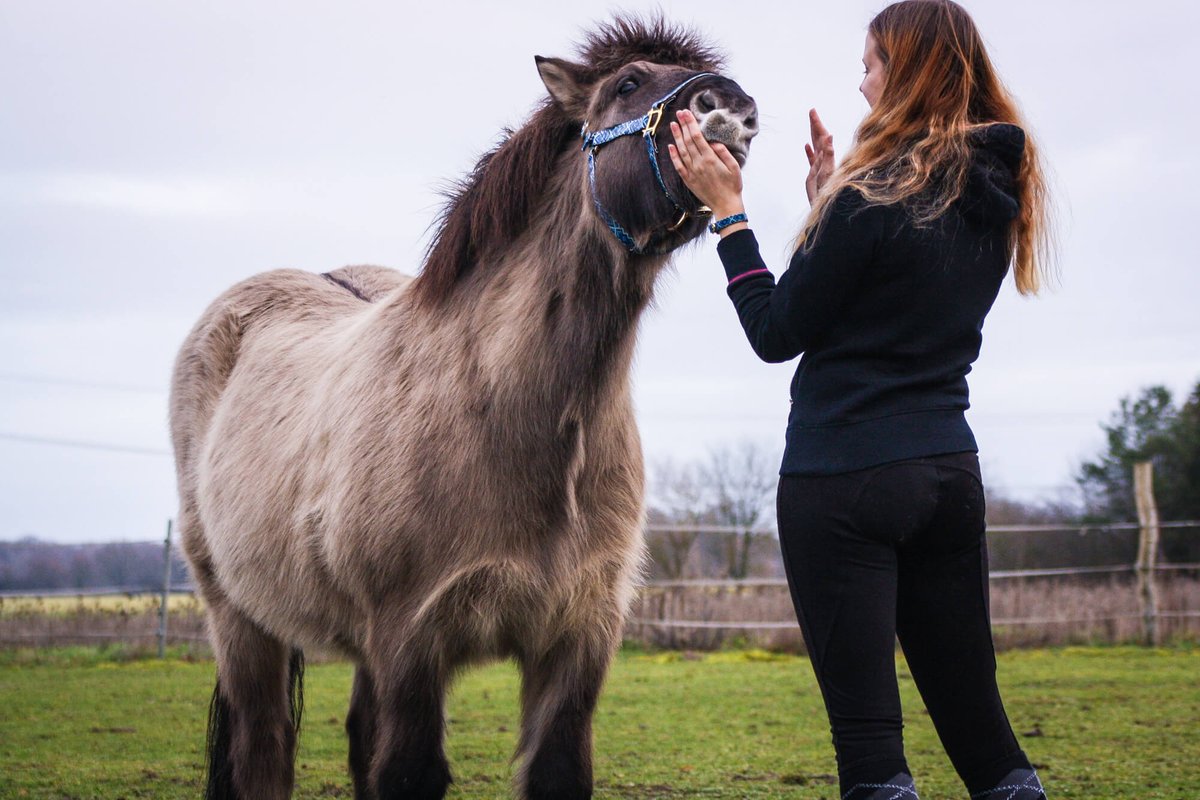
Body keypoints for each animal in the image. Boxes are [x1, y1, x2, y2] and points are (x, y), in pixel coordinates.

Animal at [168, 18, 753, 800]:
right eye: (628, 83)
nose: (734, 111)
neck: (505, 410)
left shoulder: (578, 639)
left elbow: (553, 770)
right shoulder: (411, 642)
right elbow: (409, 773)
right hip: (239, 620)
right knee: (263, 746)